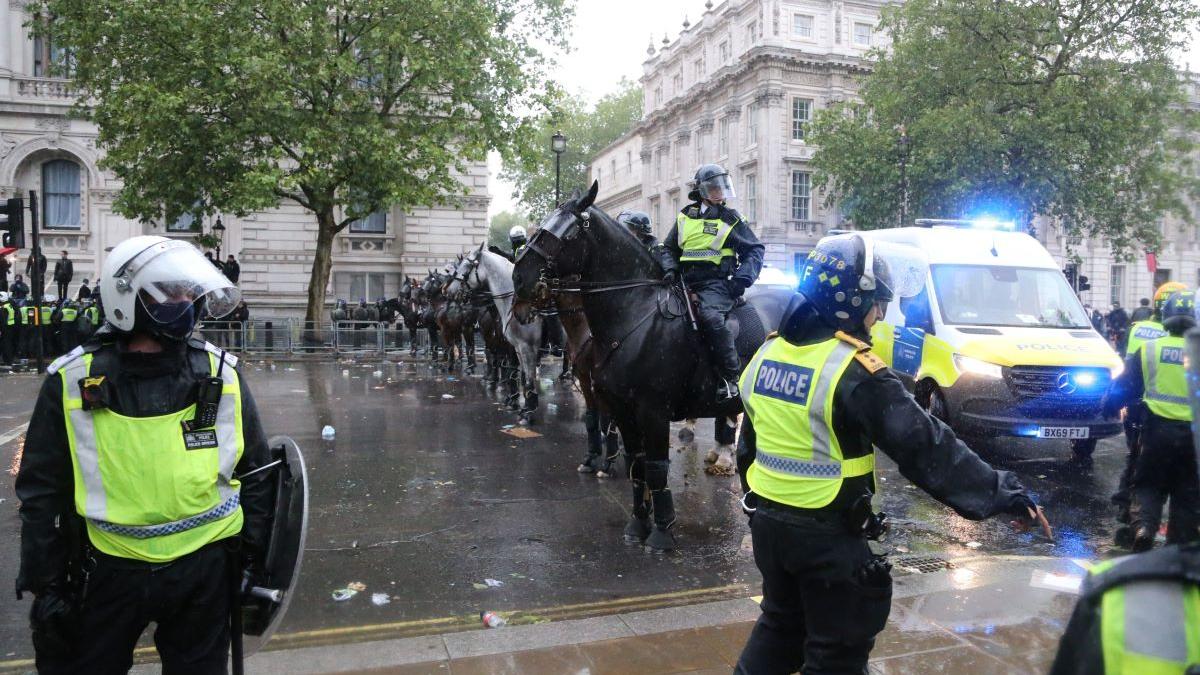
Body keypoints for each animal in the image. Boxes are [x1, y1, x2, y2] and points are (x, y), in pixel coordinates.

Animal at [511, 181, 792, 550]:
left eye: (560, 233)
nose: (519, 280)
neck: (635, 315)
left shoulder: (652, 411)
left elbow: (657, 467)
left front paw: (661, 531)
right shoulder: (622, 408)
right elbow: (637, 466)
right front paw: (637, 524)